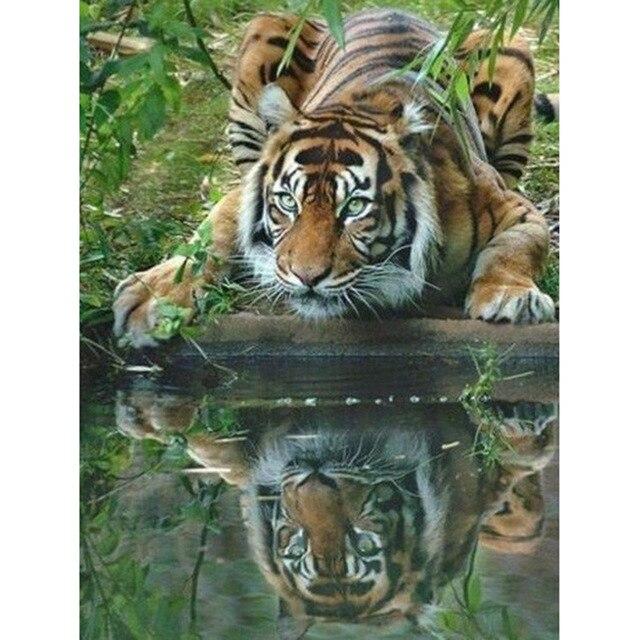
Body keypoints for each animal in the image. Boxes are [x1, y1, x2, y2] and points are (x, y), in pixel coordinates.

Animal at [113, 9, 559, 348]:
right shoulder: (244, 191)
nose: (305, 278)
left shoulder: (516, 209)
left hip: (510, 46)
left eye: (355, 207)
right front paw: (153, 298)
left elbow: (516, 248)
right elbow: (209, 238)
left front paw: (511, 298)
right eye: (287, 202)